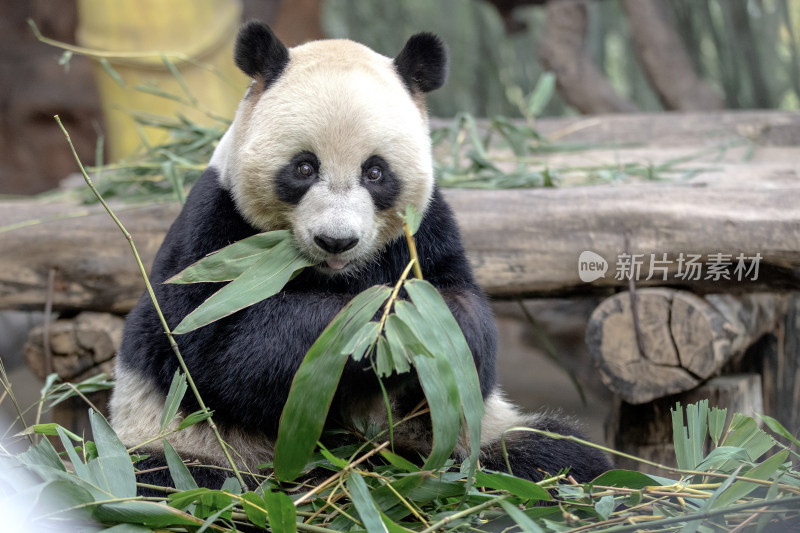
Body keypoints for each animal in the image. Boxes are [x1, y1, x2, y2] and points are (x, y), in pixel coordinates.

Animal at [108, 20, 608, 488]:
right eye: (304, 167)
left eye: (375, 172)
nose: (336, 240)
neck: (337, 275)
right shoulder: (217, 233)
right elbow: (219, 352)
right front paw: (377, 324)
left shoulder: (425, 233)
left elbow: (470, 348)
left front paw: (436, 322)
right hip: (191, 445)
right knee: (171, 479)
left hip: (480, 436)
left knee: (555, 457)